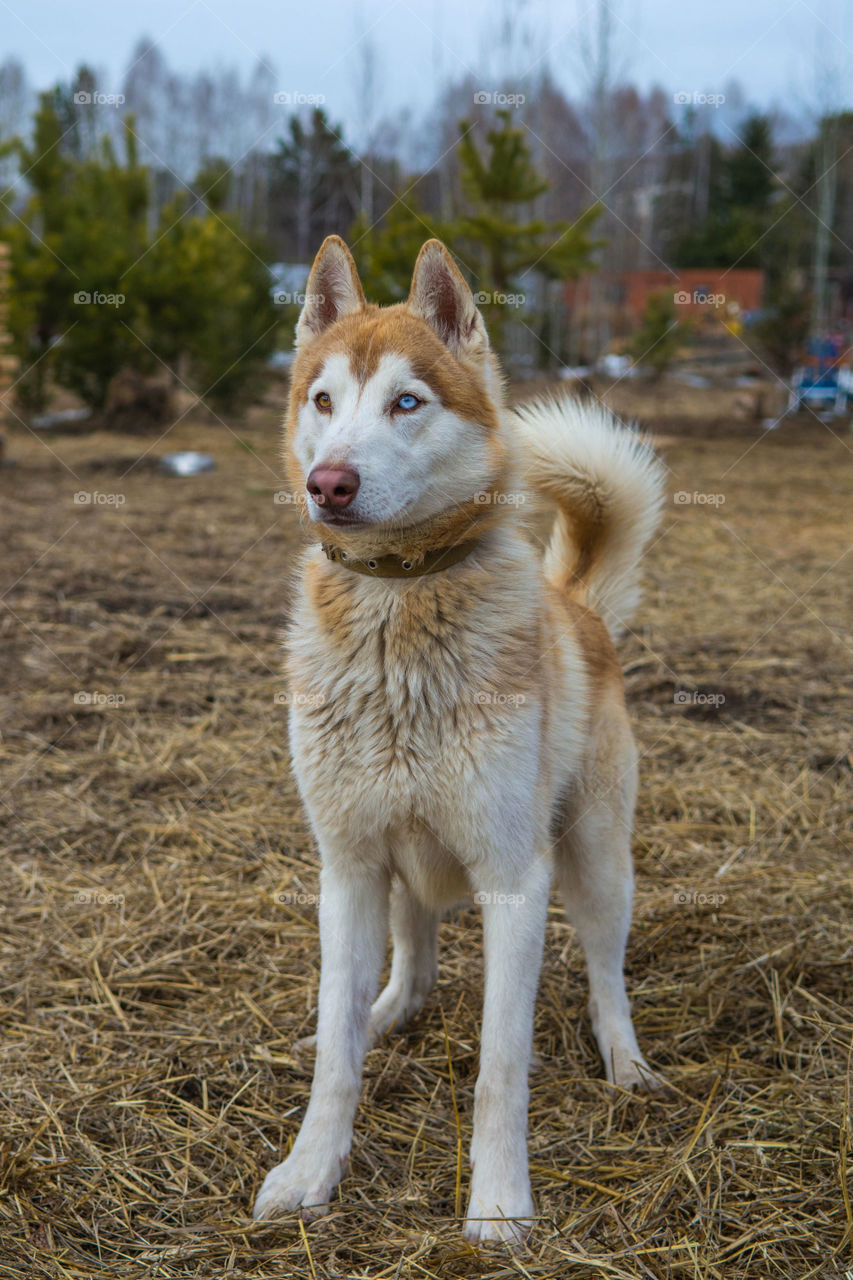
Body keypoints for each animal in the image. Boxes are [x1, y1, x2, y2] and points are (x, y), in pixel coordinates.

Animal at [252, 235, 666, 1244]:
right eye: (324, 401)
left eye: (407, 401)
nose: (329, 483)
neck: (398, 603)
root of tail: (577, 605)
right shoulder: (347, 866)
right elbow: (336, 1064)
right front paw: (309, 1172)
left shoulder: (517, 882)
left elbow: (499, 1067)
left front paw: (500, 1207)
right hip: (405, 866)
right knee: (412, 963)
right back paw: (382, 1013)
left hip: (597, 864)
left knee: (605, 974)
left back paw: (625, 1062)